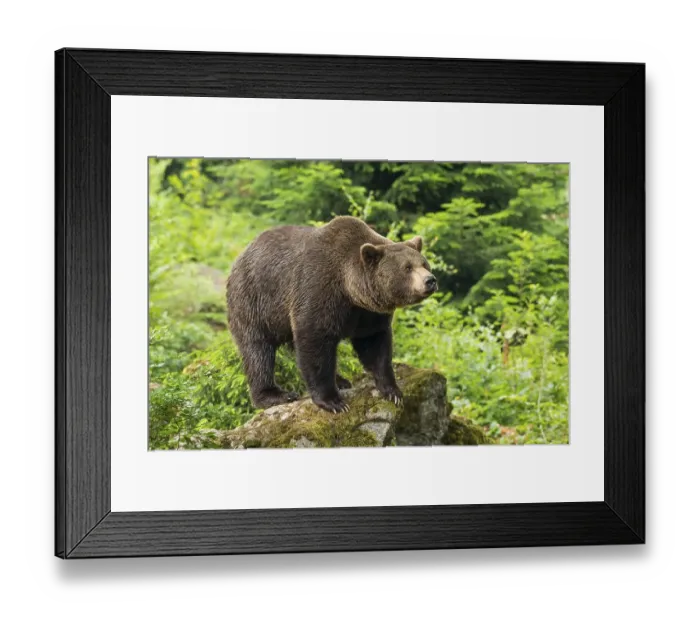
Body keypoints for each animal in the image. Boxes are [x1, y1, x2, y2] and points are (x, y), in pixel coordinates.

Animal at [226, 215, 438, 413]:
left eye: (424, 264)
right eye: (407, 268)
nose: (430, 280)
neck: (349, 291)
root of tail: (240, 257)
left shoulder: (368, 313)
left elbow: (375, 345)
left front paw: (392, 391)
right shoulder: (318, 289)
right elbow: (315, 341)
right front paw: (333, 402)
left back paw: (341, 380)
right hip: (254, 300)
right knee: (257, 350)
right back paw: (274, 394)